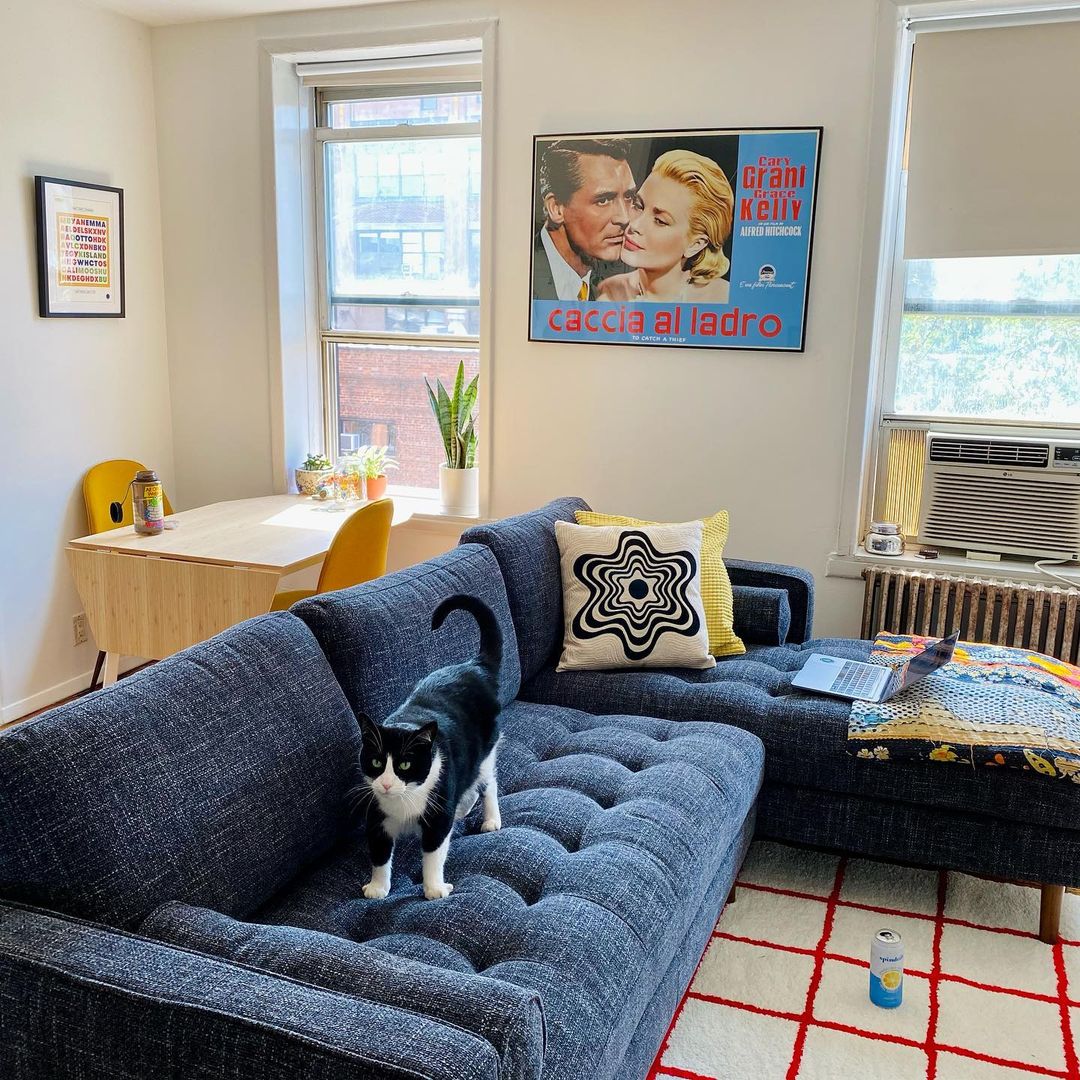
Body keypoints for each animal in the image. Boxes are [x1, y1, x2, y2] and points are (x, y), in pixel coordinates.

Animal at [358, 596, 501, 898]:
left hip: (486, 750)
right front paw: (377, 887)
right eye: (376, 762)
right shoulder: (376, 813)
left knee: (487, 781)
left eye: (405, 764)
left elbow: (434, 851)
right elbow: (378, 852)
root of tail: (475, 666)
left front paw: (434, 888)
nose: (385, 784)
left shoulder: (437, 809)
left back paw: (491, 818)